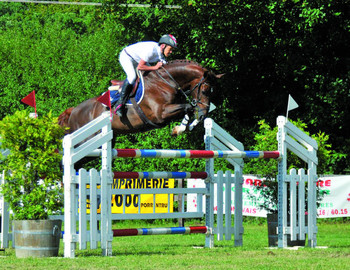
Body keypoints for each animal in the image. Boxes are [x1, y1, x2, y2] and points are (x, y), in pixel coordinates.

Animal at [58, 60, 223, 142]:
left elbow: (188, 108)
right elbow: (188, 106)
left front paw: (182, 128)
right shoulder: (161, 114)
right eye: (205, 90)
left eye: (213, 92)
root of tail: (73, 111)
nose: (203, 114)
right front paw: (180, 129)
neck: (165, 82)